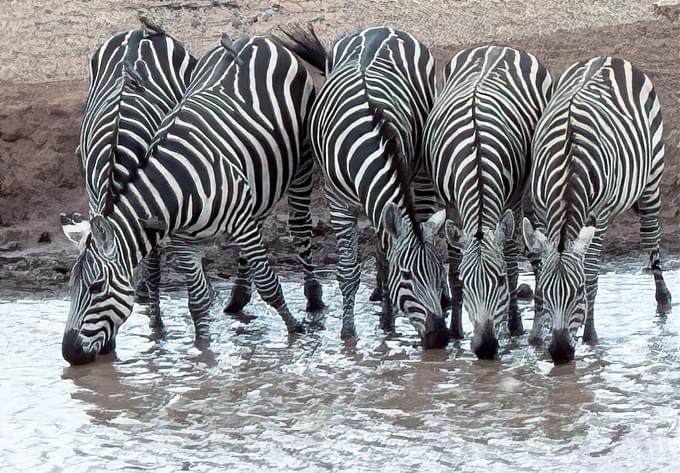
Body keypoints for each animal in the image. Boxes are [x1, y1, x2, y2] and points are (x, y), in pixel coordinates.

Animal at [278, 25, 448, 346]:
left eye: (438, 273)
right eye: (406, 275)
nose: (439, 338)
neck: (366, 145)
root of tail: (382, 28)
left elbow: (384, 256)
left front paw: (387, 320)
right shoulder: (337, 201)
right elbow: (348, 271)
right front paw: (348, 333)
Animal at [422, 47, 556, 358]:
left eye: (498, 281)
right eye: (468, 282)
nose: (484, 348)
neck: (477, 159)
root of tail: (495, 47)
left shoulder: (512, 198)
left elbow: (510, 261)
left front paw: (513, 327)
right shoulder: (451, 204)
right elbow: (453, 268)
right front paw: (455, 330)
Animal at [524, 56, 672, 366]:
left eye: (578, 292)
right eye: (546, 291)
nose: (560, 353)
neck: (568, 170)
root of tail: (609, 58)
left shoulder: (599, 216)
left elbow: (592, 274)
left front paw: (590, 337)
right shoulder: (542, 211)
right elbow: (539, 270)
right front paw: (534, 336)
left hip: (652, 177)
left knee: (651, 236)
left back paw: (663, 298)